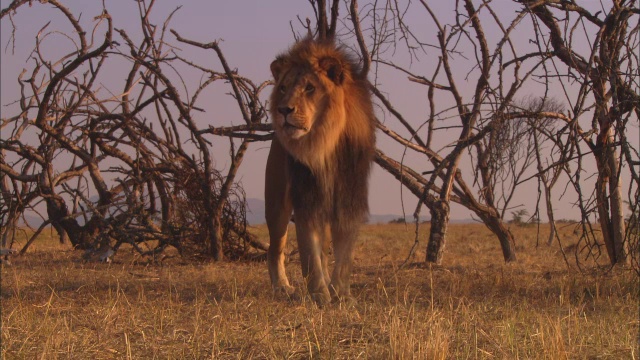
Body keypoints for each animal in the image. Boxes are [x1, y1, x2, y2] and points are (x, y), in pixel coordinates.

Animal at [264, 38, 376, 306]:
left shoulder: (349, 201)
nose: (283, 110)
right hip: (276, 205)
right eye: (282, 88)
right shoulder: (307, 200)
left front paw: (341, 294)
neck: (324, 145)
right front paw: (319, 295)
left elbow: (343, 256)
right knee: (274, 250)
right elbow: (309, 255)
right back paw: (281, 287)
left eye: (309, 88)